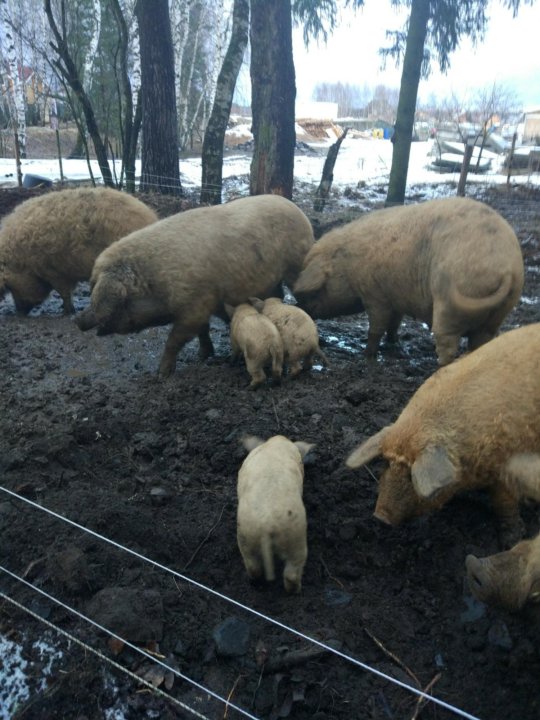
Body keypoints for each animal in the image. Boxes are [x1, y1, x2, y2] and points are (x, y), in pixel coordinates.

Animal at [74, 194, 314, 380]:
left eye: (94, 290)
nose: (77, 319)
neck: (155, 282)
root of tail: (298, 210)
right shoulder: (204, 304)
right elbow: (203, 330)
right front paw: (203, 355)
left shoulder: (193, 307)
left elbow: (175, 339)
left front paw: (161, 374)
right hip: (272, 279)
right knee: (277, 295)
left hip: (296, 264)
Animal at [237, 434, 316, 592]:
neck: (275, 444)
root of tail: (267, 527)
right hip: (295, 536)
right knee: (292, 571)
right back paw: (297, 590)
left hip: (245, 536)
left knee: (252, 565)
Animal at [292, 197, 524, 366]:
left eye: (315, 290)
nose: (300, 308)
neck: (347, 265)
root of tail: (505, 267)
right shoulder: (396, 297)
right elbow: (394, 323)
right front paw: (394, 344)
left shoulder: (375, 295)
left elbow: (376, 327)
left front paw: (367, 357)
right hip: (497, 315)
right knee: (480, 342)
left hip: (449, 305)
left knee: (447, 344)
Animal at [346, 322, 540, 544]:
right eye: (386, 463)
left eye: (411, 474)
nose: (380, 517)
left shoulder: (507, 463)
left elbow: (504, 502)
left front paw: (512, 540)